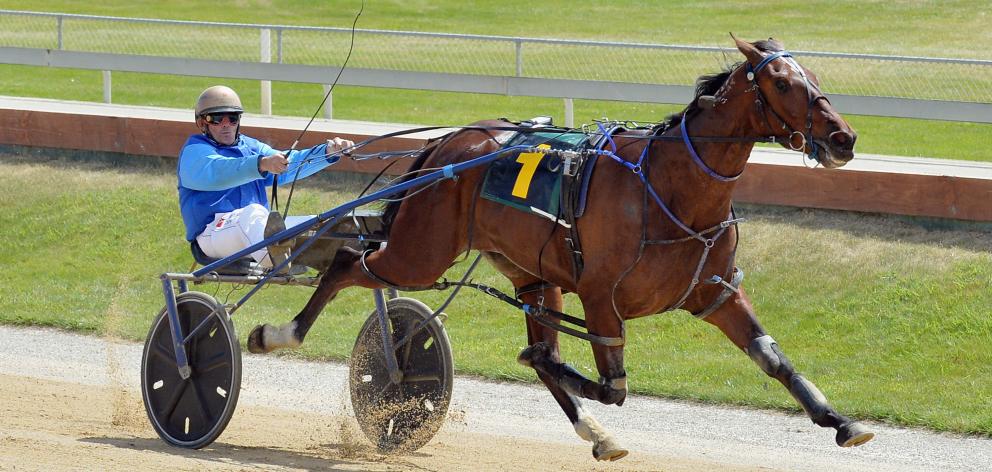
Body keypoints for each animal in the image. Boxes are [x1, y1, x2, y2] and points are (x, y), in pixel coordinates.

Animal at [244, 37, 872, 460]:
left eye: (815, 74)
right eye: (784, 83)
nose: (843, 137)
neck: (668, 188)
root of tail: (447, 146)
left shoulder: (715, 294)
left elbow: (773, 358)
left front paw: (841, 420)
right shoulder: (599, 297)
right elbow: (612, 386)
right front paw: (573, 377)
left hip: (530, 271)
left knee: (531, 335)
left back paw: (597, 434)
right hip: (421, 252)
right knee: (347, 263)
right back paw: (277, 334)